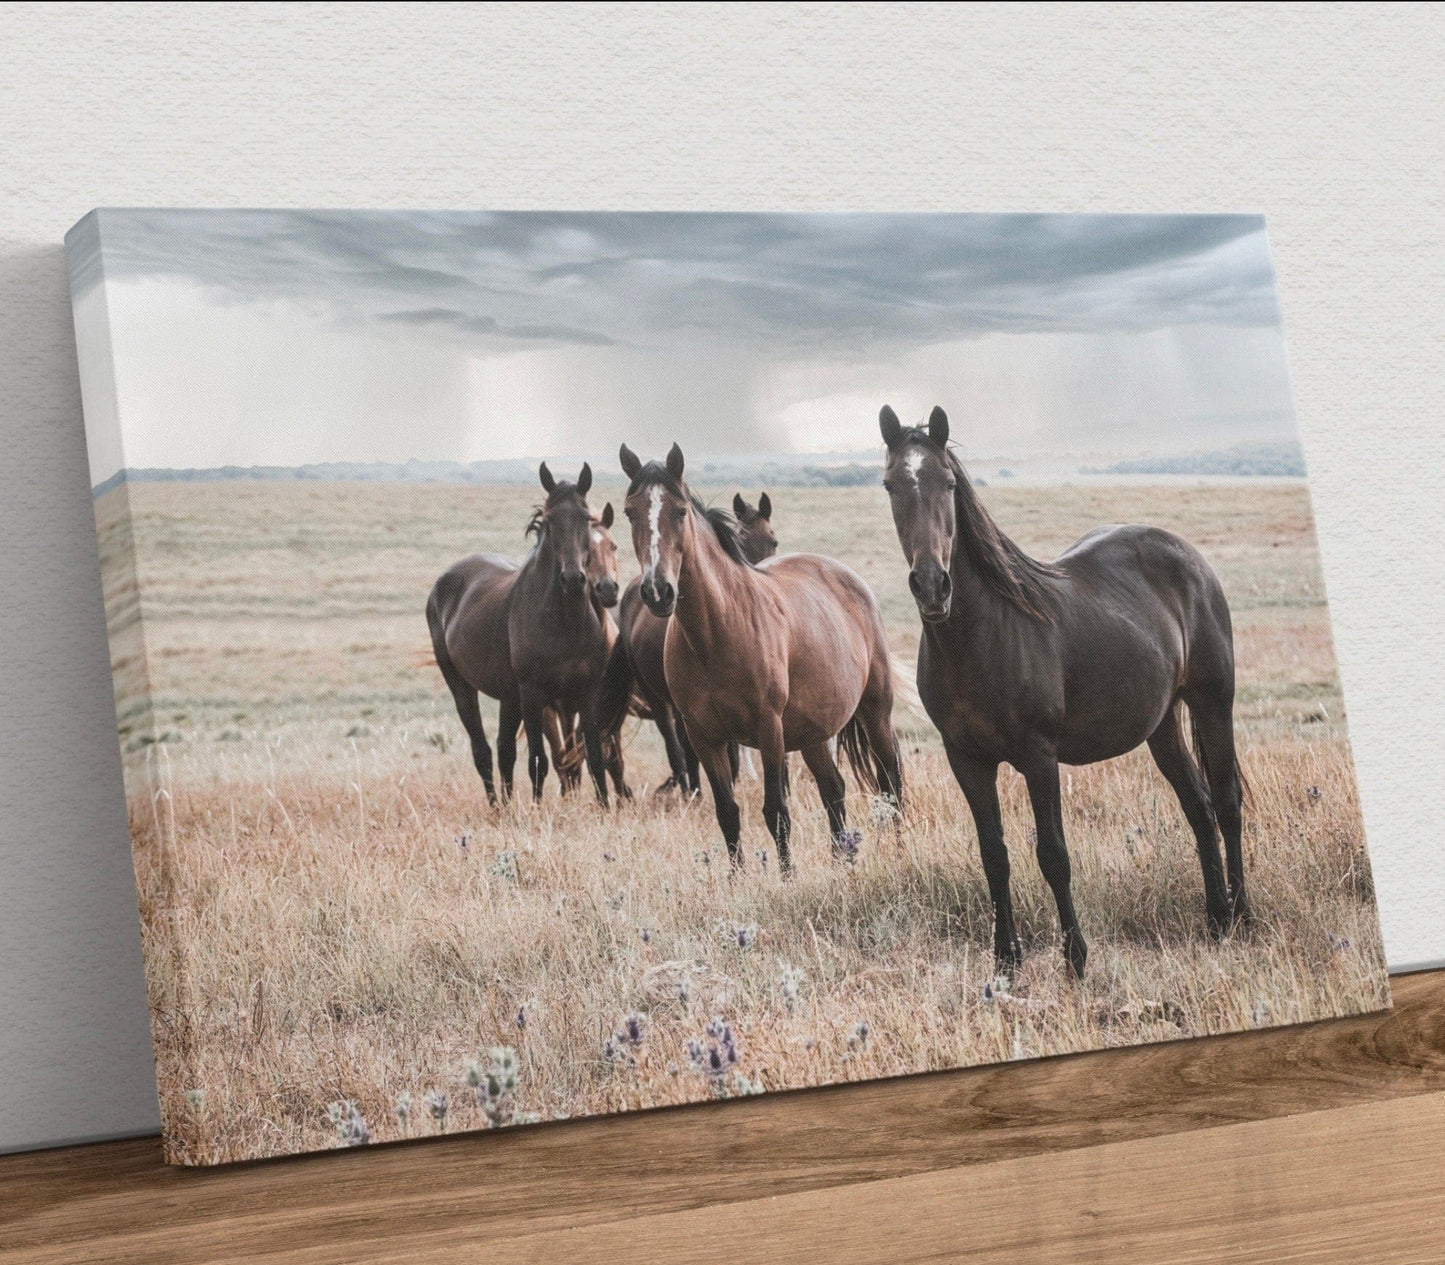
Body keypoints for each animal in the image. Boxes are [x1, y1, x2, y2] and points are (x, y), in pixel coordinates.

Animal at [426, 462, 618, 805]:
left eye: (585, 517)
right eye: (550, 520)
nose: (573, 579)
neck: (564, 623)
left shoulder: (586, 693)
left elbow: (593, 757)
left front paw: (605, 809)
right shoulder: (533, 695)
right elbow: (539, 761)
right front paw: (538, 810)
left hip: (508, 697)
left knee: (504, 750)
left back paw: (506, 806)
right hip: (463, 686)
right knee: (483, 751)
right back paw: (496, 808)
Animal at [878, 404, 1248, 979]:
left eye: (948, 482)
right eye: (891, 484)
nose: (932, 585)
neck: (980, 636)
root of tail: (1188, 557)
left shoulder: (1039, 755)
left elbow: (1053, 854)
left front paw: (1075, 958)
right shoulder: (966, 759)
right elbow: (994, 856)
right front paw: (1006, 961)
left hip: (1213, 702)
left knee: (1227, 803)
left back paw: (1245, 917)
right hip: (1162, 725)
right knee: (1199, 807)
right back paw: (1216, 920)